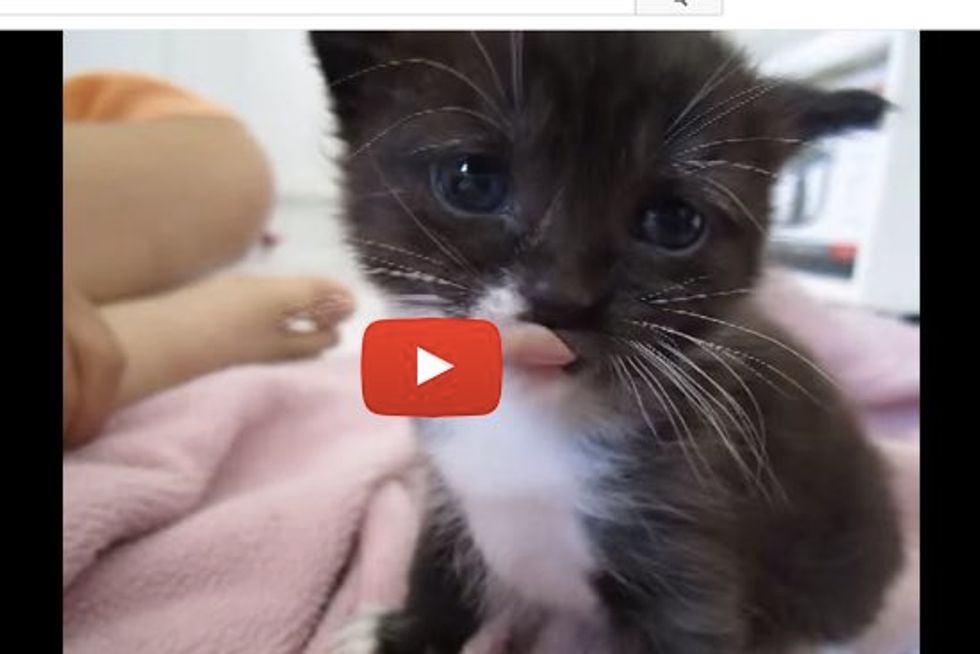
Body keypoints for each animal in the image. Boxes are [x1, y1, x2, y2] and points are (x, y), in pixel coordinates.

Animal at [312, 32, 904, 654]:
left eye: (674, 221)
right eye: (472, 181)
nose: (563, 299)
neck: (528, 418)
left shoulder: (689, 546)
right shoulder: (447, 483)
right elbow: (438, 562)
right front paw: (402, 631)